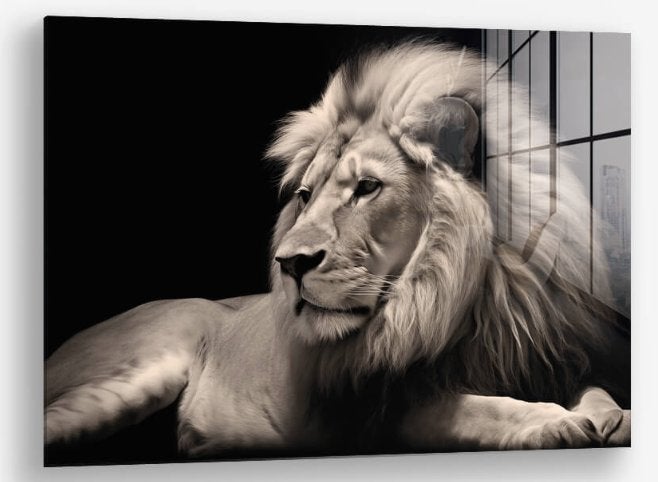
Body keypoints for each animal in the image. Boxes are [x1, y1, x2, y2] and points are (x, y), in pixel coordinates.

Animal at [45, 41, 630, 459]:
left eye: (366, 188)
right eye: (305, 196)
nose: (290, 264)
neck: (459, 299)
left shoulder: (548, 356)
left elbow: (595, 387)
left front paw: (610, 415)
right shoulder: (376, 412)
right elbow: (483, 411)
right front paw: (554, 421)